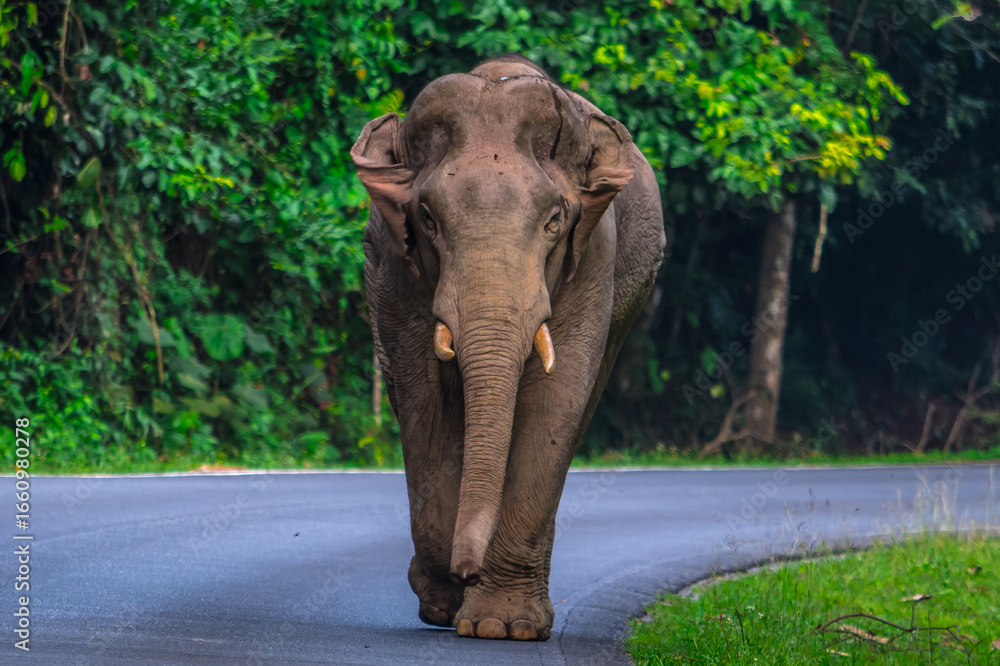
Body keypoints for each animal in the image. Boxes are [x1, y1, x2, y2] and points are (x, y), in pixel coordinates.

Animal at [350, 54, 665, 641]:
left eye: (555, 219)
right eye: (428, 219)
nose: (466, 569)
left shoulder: (594, 258)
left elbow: (555, 399)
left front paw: (501, 626)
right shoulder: (394, 265)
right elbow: (423, 397)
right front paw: (446, 600)